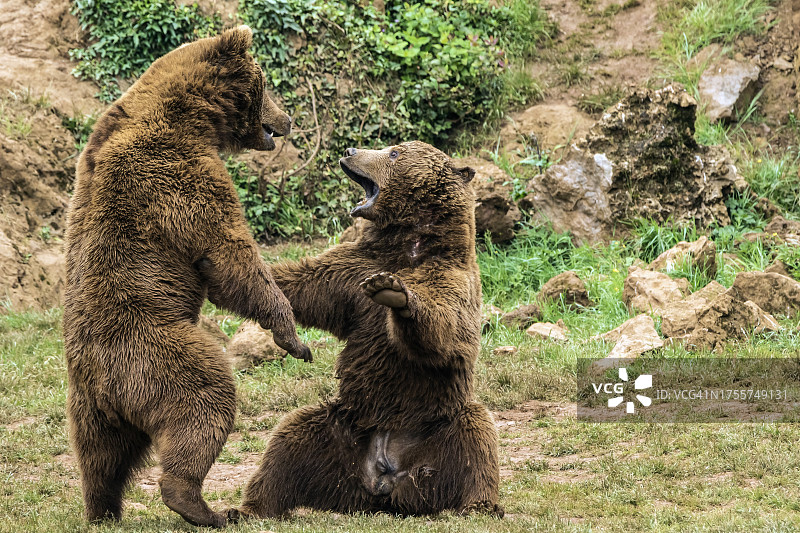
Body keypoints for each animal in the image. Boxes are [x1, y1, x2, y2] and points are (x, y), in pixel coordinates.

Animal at [63, 26, 312, 528]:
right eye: (267, 86)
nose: (289, 118)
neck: (194, 117)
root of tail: (102, 385)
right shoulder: (179, 175)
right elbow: (228, 256)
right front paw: (293, 336)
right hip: (153, 355)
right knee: (205, 400)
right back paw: (202, 506)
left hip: (88, 407)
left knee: (100, 459)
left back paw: (103, 510)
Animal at [236, 140, 500, 516]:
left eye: (394, 152)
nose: (349, 149)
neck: (407, 243)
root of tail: (383, 480)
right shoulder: (350, 270)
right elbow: (302, 283)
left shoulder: (451, 278)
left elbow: (443, 332)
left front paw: (395, 292)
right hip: (341, 430)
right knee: (287, 442)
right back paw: (249, 508)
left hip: (439, 424)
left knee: (476, 437)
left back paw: (479, 505)